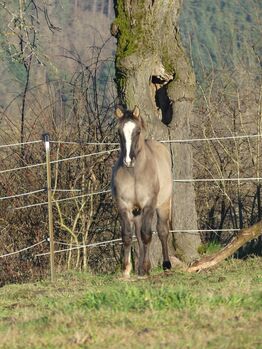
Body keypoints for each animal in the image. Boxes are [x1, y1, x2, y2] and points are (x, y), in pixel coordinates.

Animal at [111, 104, 173, 276]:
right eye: (119, 132)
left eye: (137, 131)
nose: (128, 161)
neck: (135, 174)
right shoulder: (123, 206)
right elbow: (127, 235)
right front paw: (126, 269)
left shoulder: (149, 205)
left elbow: (147, 235)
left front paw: (145, 268)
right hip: (137, 211)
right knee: (137, 234)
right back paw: (139, 268)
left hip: (163, 205)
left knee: (162, 231)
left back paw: (166, 264)